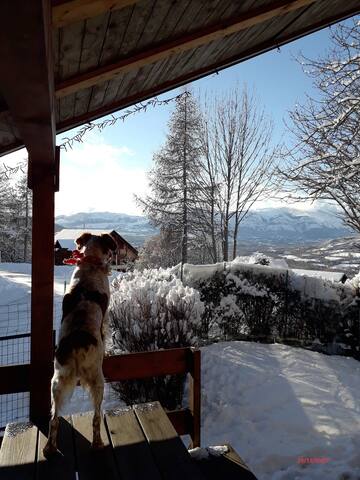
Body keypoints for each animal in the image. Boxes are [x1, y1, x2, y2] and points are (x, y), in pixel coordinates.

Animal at [43, 232, 116, 458]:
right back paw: (98, 444)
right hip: (98, 380)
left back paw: (50, 448)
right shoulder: (105, 315)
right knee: (95, 417)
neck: (90, 262)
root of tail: (76, 345)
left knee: (54, 419)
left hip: (57, 381)